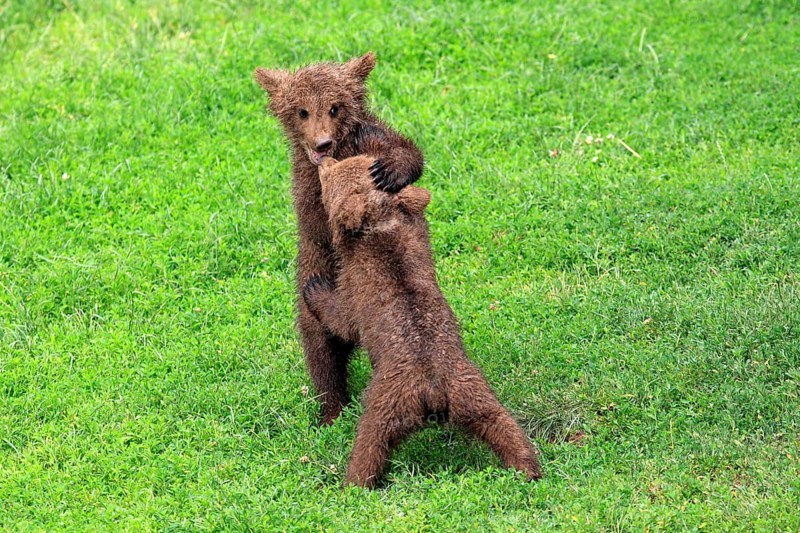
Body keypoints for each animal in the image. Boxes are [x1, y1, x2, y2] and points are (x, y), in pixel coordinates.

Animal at [253, 53, 424, 425]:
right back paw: (330, 410)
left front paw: (388, 170)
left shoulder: (372, 136)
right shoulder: (305, 185)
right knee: (322, 353)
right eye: (302, 111)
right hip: (312, 294)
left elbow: (408, 151)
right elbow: (316, 223)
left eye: (334, 107)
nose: (323, 142)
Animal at [302, 155, 542, 488]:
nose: (324, 159)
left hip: (389, 396)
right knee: (499, 422)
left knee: (371, 439)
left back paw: (354, 481)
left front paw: (314, 286)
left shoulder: (358, 290)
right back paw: (528, 465)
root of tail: (434, 393)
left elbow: (343, 320)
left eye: (330, 177)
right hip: (471, 389)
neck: (380, 224)